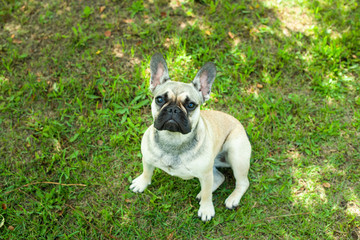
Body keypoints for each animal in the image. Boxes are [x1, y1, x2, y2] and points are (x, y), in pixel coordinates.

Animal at [131, 53, 252, 221]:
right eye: (159, 99)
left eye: (191, 105)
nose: (173, 109)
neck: (173, 140)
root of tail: (242, 128)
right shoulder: (147, 158)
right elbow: (147, 172)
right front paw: (142, 183)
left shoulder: (206, 175)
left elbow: (208, 194)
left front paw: (206, 209)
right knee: (219, 177)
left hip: (236, 155)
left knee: (242, 182)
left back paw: (232, 199)